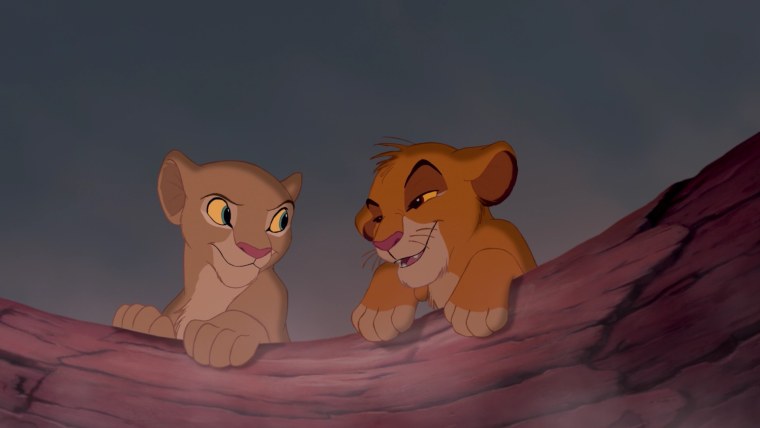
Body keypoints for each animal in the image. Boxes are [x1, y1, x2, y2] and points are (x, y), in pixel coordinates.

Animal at [352, 140, 536, 341]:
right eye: (378, 219)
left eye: (422, 199)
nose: (384, 242)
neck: (449, 263)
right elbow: (388, 270)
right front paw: (376, 313)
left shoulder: (511, 243)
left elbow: (492, 255)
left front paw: (472, 309)